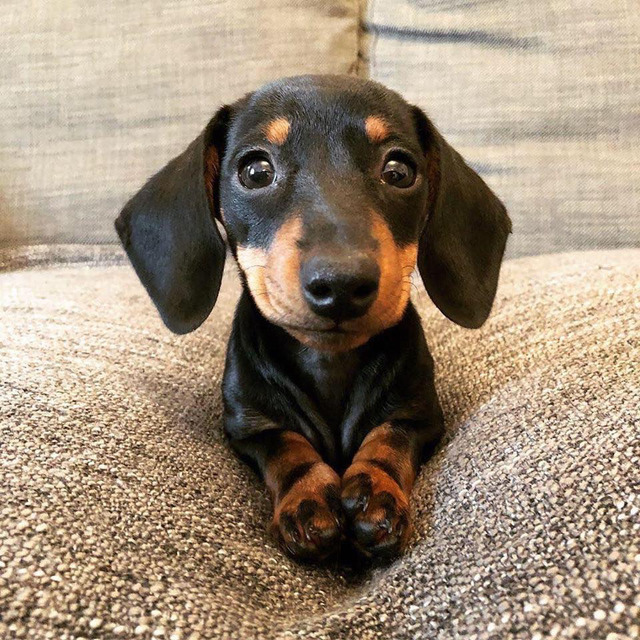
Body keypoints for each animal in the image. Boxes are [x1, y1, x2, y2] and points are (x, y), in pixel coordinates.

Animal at [115, 75, 511, 562]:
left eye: (398, 171)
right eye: (256, 171)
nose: (341, 284)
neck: (329, 363)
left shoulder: (421, 416)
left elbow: (389, 438)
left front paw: (375, 491)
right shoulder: (248, 426)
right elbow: (288, 447)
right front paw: (308, 499)